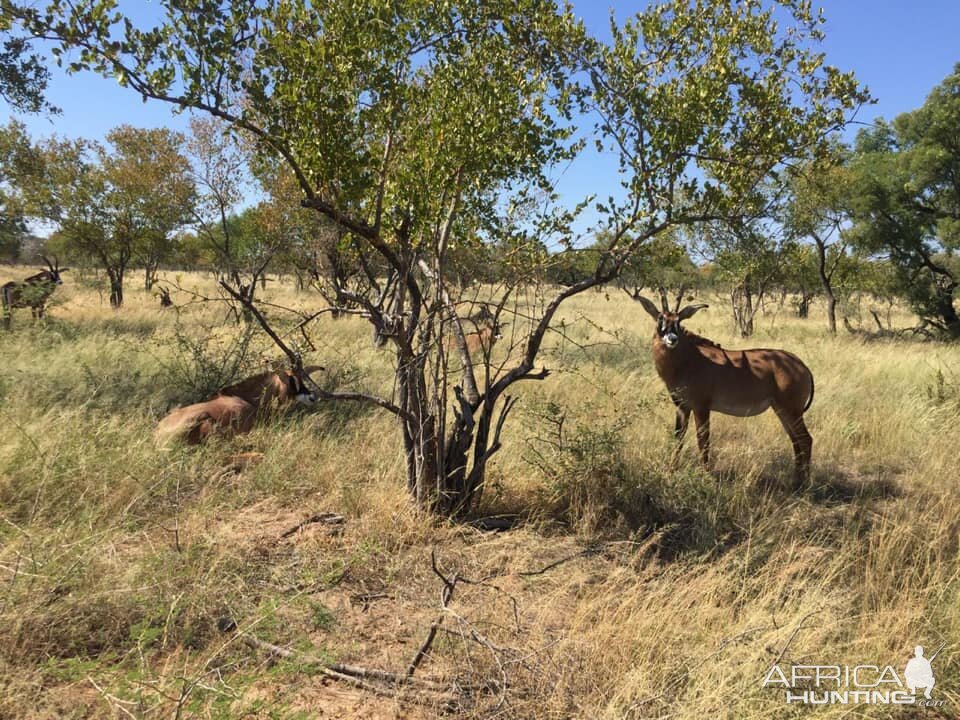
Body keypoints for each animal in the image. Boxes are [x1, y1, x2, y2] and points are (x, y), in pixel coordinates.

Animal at [632, 286, 812, 484]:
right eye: (660, 318)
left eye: (679, 321)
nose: (672, 339)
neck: (687, 359)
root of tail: (802, 366)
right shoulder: (682, 407)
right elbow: (678, 438)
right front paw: (670, 472)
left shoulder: (701, 407)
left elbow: (703, 440)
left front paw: (705, 475)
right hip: (781, 409)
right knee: (795, 440)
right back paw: (796, 481)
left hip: (791, 410)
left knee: (805, 439)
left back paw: (803, 484)